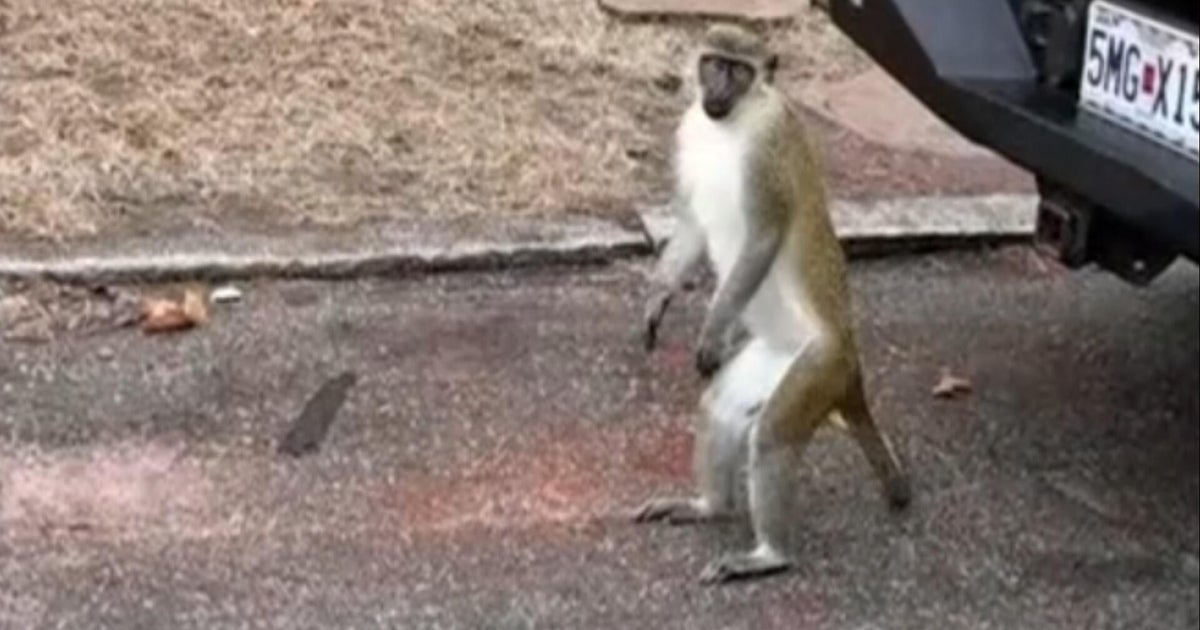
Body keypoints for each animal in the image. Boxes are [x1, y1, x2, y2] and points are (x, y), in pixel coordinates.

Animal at [634, 24, 912, 585]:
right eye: (713, 63)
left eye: (738, 70)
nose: (717, 88)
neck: (731, 126)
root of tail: (850, 357)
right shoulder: (688, 131)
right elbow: (692, 223)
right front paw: (658, 297)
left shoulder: (768, 151)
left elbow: (762, 239)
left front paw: (712, 329)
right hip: (776, 358)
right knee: (721, 408)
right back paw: (709, 507)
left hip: (820, 365)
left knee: (773, 435)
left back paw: (770, 555)